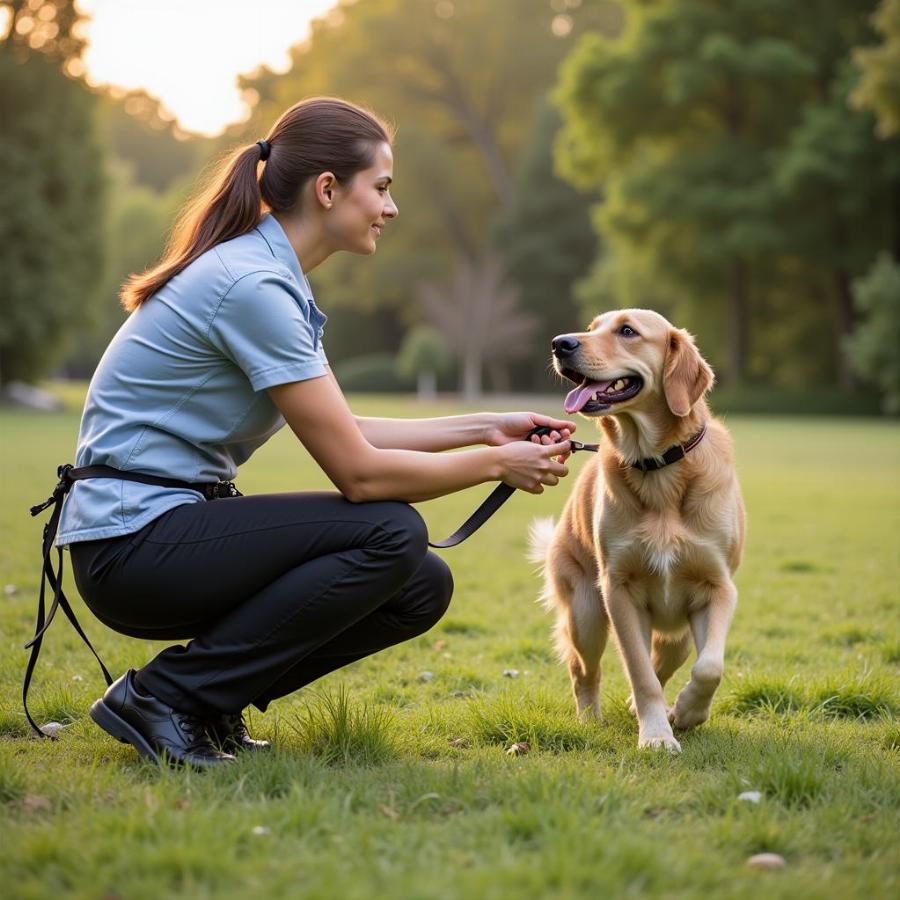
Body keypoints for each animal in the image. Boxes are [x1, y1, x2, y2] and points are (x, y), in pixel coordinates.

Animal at [528, 310, 744, 752]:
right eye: (591, 329)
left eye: (627, 331)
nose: (560, 344)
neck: (657, 464)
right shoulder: (619, 591)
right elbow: (640, 673)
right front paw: (657, 736)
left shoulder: (718, 587)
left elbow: (709, 667)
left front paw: (688, 712)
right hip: (586, 613)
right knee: (584, 671)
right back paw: (590, 719)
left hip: (677, 630)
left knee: (670, 658)